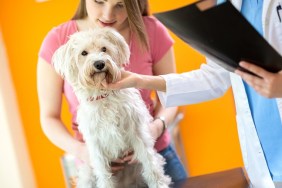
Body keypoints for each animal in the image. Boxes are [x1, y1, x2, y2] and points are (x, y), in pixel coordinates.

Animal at [53, 27, 172, 188]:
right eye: (84, 53)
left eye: (104, 49)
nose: (99, 63)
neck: (104, 97)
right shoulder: (96, 146)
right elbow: (104, 174)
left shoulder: (137, 132)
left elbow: (149, 163)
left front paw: (159, 184)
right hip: (88, 173)